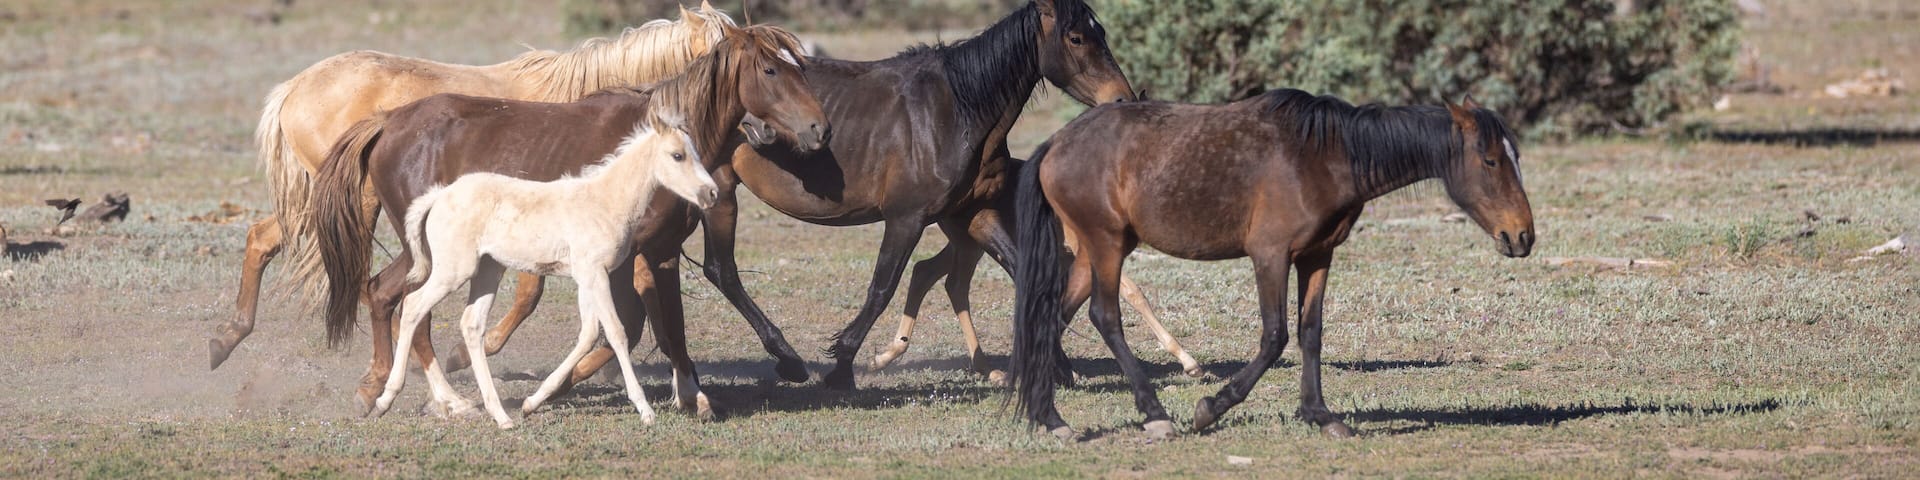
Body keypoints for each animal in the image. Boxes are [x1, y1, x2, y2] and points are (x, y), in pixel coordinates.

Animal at [209, 3, 738, 371]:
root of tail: (294, 88)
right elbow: (530, 294)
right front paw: (470, 355)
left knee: (263, 239)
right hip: (353, 203)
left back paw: (226, 339)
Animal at [375, 112, 716, 429]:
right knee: (413, 306)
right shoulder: (595, 273)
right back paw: (384, 399)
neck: (605, 202)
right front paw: (645, 409)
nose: (711, 193)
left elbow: (588, 334)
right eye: (677, 155)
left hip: (487, 271)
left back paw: (501, 415)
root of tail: (440, 195)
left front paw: (532, 402)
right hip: (454, 270)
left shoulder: (586, 278)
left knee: (471, 324)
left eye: (696, 153)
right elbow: (615, 332)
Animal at [1010, 89, 1535, 441]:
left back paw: (1050, 419)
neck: (1325, 157)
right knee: (1105, 317)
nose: (1522, 236)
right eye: (1490, 161)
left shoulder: (1317, 256)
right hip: (1108, 246)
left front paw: (1321, 415)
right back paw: (1154, 415)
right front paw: (1211, 408)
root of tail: (1055, 143)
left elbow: (1310, 333)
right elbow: (1275, 336)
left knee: (1051, 319)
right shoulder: (1271, 256)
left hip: (1092, 251)